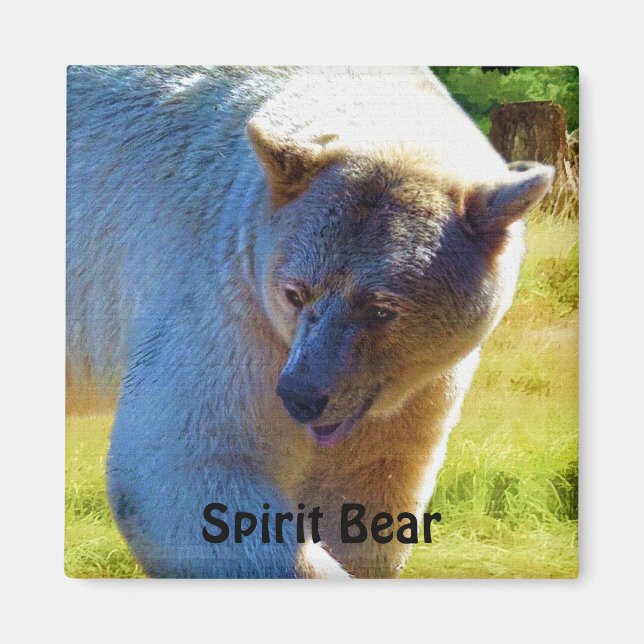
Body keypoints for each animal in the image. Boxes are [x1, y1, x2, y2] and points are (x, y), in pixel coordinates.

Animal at [66, 66, 553, 578]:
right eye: (295, 294)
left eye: (381, 309)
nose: (300, 397)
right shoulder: (228, 294)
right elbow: (187, 463)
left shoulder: (417, 387)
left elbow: (367, 483)